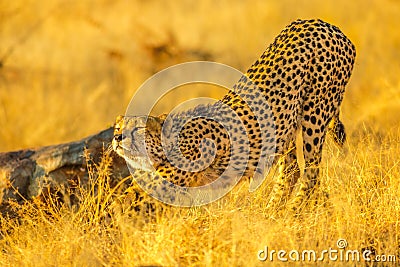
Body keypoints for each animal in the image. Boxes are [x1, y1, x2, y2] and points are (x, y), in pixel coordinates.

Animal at [112, 18, 356, 211]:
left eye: (138, 128)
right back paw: (271, 213)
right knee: (291, 169)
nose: (116, 138)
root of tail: (325, 24)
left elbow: (131, 201)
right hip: (283, 126)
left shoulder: (168, 184)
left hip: (316, 112)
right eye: (118, 128)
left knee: (312, 172)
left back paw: (292, 212)